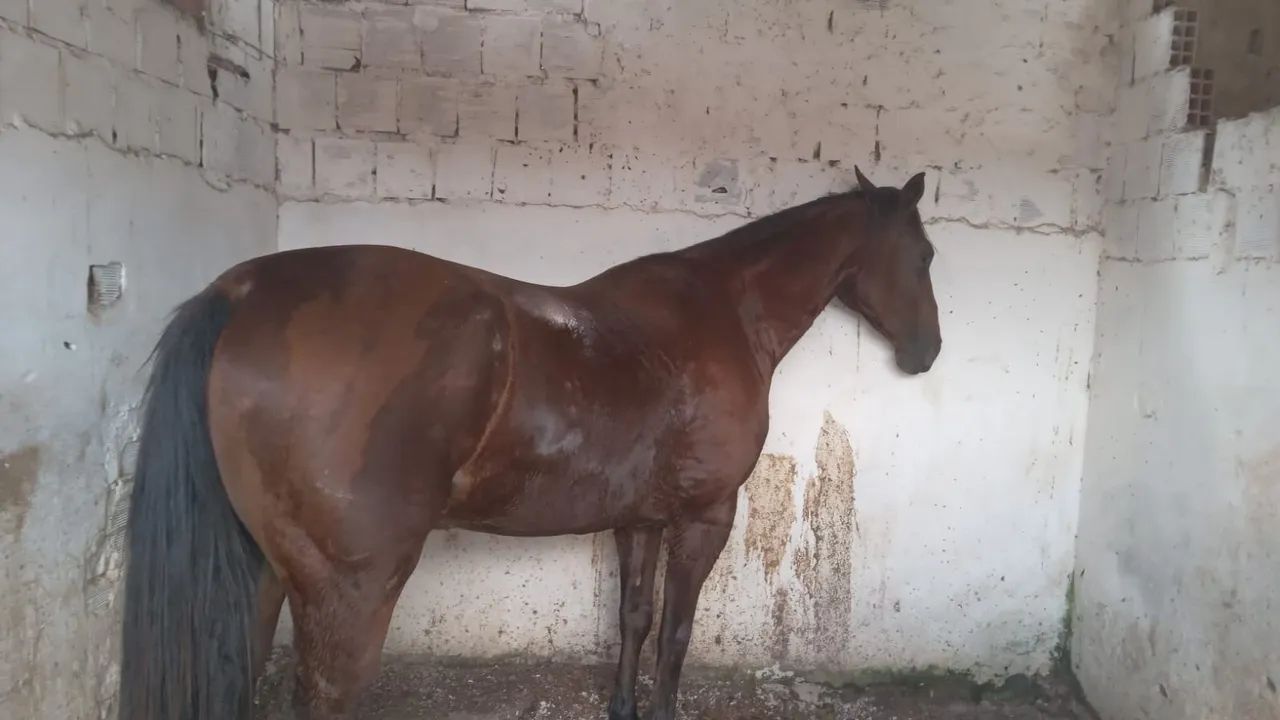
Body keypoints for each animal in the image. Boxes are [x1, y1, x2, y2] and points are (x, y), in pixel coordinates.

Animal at [117, 167, 941, 720]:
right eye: (926, 254)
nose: (927, 351)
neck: (725, 313)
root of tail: (245, 292)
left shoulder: (639, 517)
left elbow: (635, 617)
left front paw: (622, 707)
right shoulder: (706, 515)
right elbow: (677, 631)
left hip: (262, 572)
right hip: (349, 587)